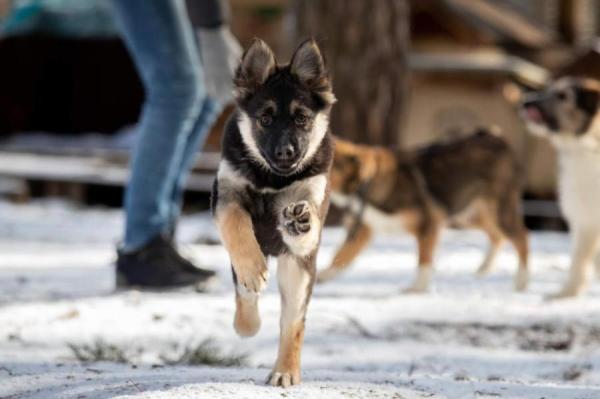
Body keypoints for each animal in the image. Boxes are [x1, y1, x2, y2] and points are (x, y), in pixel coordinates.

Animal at [211, 39, 336, 388]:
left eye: (302, 119)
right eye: (265, 119)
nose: (285, 153)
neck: (273, 178)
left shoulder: (311, 200)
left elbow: (307, 220)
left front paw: (299, 220)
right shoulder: (227, 197)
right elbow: (236, 226)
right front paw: (254, 269)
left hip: (298, 275)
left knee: (292, 324)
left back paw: (285, 371)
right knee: (245, 297)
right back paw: (247, 322)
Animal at [318, 131, 528, 294]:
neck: (367, 183)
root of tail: (499, 138)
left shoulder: (429, 223)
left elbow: (424, 259)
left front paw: (417, 288)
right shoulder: (363, 229)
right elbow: (341, 256)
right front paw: (321, 277)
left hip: (498, 211)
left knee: (521, 237)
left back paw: (522, 282)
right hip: (465, 215)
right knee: (496, 236)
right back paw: (485, 268)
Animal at [520, 76, 600, 298]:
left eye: (563, 96)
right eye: (548, 89)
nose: (526, 101)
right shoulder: (584, 219)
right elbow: (581, 260)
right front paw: (566, 294)